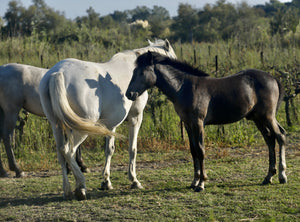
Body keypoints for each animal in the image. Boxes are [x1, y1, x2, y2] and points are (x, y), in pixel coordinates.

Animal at [39, 38, 177, 199]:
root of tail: (57, 73)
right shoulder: (136, 118)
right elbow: (132, 148)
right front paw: (134, 180)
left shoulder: (111, 125)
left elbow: (109, 150)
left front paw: (106, 182)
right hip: (80, 130)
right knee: (68, 151)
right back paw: (81, 188)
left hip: (56, 125)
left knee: (61, 153)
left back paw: (67, 191)